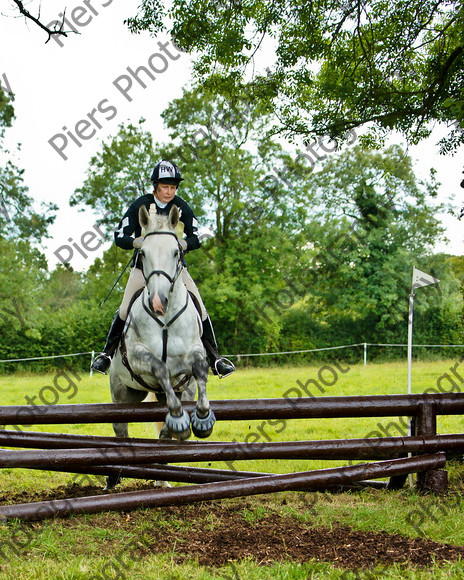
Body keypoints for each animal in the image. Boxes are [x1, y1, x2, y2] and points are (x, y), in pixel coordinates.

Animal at [109, 204, 216, 484]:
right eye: (143, 253)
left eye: (176, 252)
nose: (158, 302)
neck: (165, 318)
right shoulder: (137, 356)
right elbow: (159, 366)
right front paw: (180, 417)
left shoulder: (193, 356)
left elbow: (199, 368)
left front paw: (202, 420)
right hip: (122, 392)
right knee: (120, 427)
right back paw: (113, 477)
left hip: (178, 391)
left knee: (165, 432)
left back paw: (161, 474)